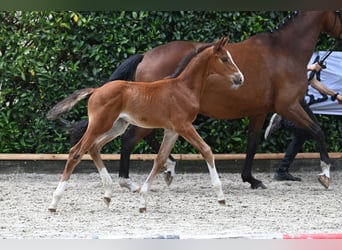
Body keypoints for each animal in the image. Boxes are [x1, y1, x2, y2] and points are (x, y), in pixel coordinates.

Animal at [46, 37, 243, 213]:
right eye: (224, 59)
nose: (240, 78)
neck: (184, 88)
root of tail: (96, 90)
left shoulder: (172, 130)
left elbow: (160, 159)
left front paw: (143, 201)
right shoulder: (184, 126)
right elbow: (206, 150)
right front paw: (221, 197)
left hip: (117, 126)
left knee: (94, 148)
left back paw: (108, 194)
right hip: (100, 124)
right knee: (76, 152)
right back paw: (54, 202)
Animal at [71, 10, 340, 189]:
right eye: (338, 11)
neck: (283, 51)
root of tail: (145, 55)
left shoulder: (259, 111)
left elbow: (252, 143)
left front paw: (251, 179)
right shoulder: (288, 105)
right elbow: (318, 131)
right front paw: (325, 173)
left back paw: (167, 168)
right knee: (130, 139)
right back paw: (136, 178)